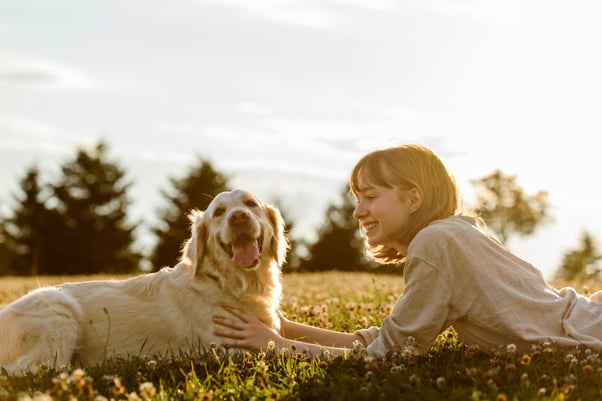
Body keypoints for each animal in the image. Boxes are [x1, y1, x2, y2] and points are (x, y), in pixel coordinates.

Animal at [0, 189, 288, 374]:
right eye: (218, 212)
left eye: (250, 203)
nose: (238, 216)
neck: (231, 283)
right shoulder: (227, 348)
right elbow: (274, 346)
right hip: (58, 309)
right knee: (35, 371)